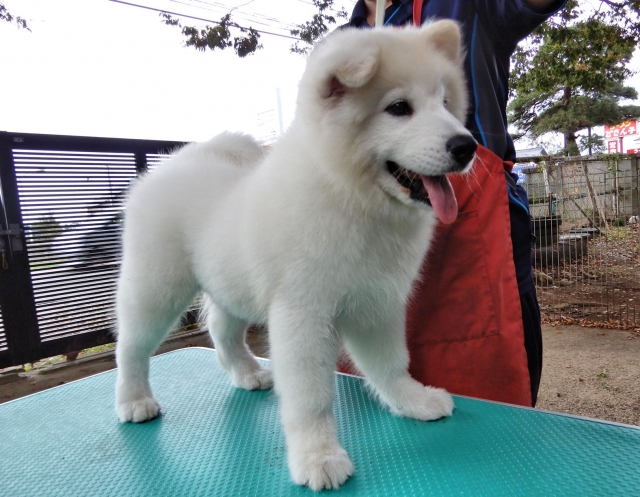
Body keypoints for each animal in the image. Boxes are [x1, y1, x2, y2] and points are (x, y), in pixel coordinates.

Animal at [115, 21, 477, 491]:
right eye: (399, 108)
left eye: (446, 103)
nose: (466, 146)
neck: (351, 199)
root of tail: (179, 161)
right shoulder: (303, 313)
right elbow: (311, 397)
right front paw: (318, 457)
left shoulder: (377, 303)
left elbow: (390, 363)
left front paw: (410, 400)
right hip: (156, 289)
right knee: (132, 347)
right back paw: (134, 400)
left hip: (232, 284)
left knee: (222, 332)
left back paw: (248, 373)